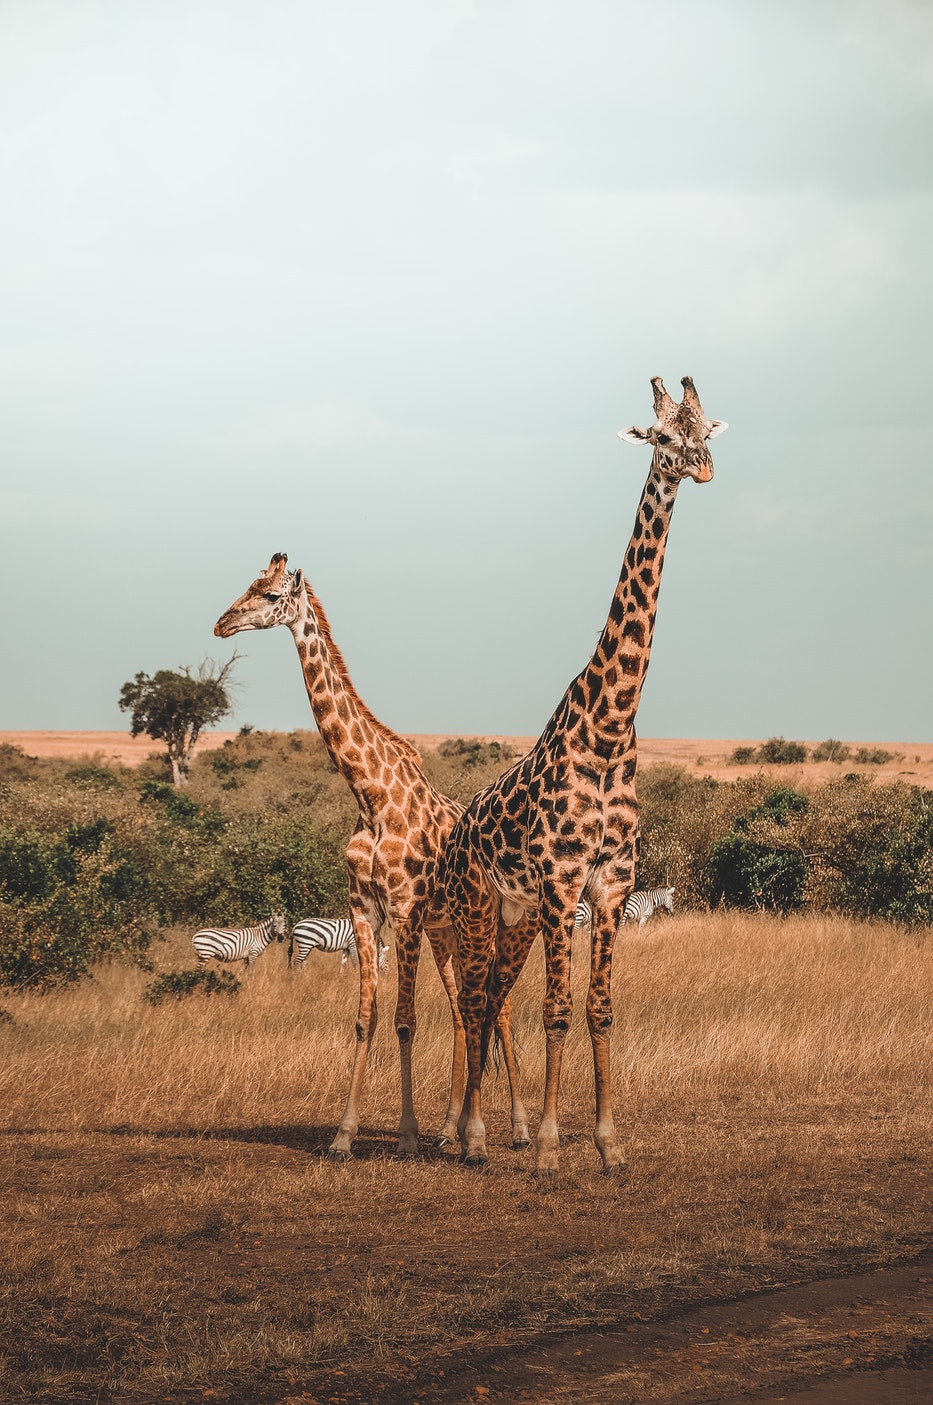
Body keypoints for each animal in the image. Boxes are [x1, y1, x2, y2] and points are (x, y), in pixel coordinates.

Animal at [214, 554, 532, 1159]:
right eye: (247, 585)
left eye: (269, 595)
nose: (222, 623)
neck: (370, 796)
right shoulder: (365, 910)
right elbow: (367, 1018)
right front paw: (344, 1135)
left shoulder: (404, 911)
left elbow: (405, 1020)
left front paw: (404, 1135)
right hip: (445, 932)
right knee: (463, 1011)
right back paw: (450, 1130)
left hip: (483, 924)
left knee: (497, 1008)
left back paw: (519, 1129)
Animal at [441, 376, 727, 1173]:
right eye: (662, 437)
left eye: (707, 433)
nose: (701, 469)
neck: (608, 729)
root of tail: (459, 826)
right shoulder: (562, 882)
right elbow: (557, 1010)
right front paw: (545, 1147)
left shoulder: (611, 884)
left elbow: (599, 1010)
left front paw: (608, 1143)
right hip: (479, 904)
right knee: (473, 1000)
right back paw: (467, 1136)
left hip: (512, 915)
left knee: (491, 999)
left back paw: (477, 1130)